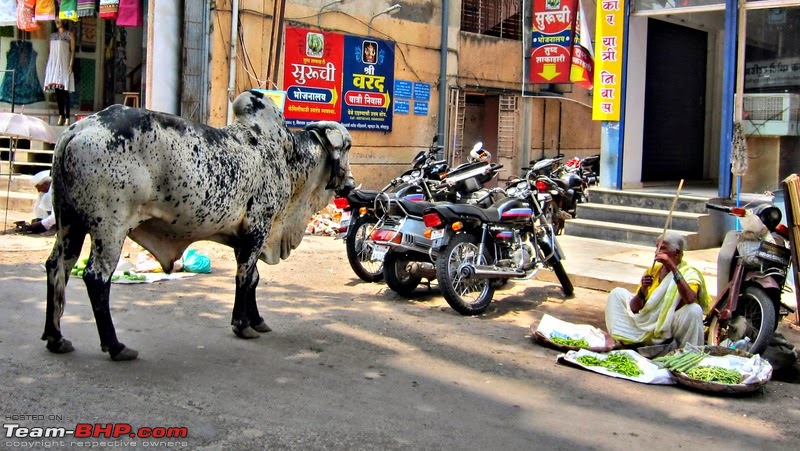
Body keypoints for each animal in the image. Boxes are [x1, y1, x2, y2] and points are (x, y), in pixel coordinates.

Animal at [41, 90, 354, 362]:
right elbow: (244, 277)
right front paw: (242, 325)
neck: (289, 159)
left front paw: (258, 320)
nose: (351, 184)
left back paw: (56, 338)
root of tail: (79, 128)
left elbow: (253, 278)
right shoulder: (258, 227)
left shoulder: (245, 235)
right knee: (96, 278)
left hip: (69, 222)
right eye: (348, 146)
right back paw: (116, 346)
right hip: (109, 227)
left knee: (57, 267)